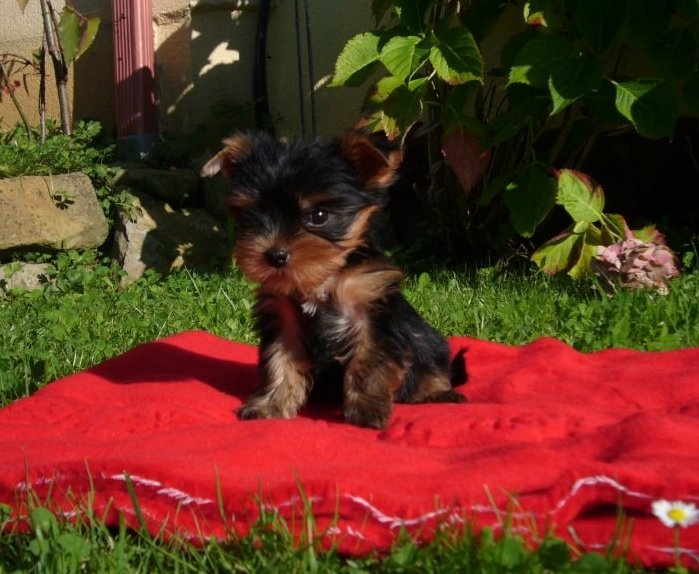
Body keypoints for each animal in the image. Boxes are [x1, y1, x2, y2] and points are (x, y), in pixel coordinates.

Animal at [200, 130, 468, 428]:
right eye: (252, 215)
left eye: (318, 215)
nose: (274, 255)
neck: (320, 277)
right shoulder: (283, 317)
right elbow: (279, 361)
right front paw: (270, 406)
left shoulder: (370, 303)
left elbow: (369, 360)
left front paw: (366, 410)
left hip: (428, 341)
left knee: (431, 365)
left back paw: (439, 394)